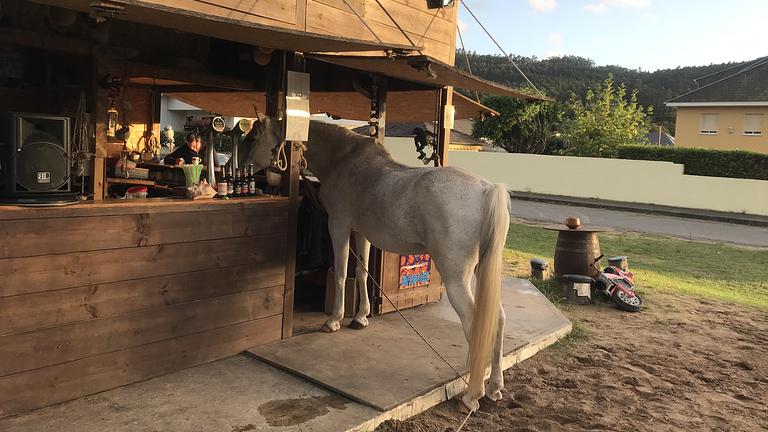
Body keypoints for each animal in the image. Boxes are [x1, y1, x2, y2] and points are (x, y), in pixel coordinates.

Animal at [242, 119, 510, 412]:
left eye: (254, 137)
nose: (246, 168)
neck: (344, 159)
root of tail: (485, 189)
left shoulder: (339, 225)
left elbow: (341, 272)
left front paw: (334, 320)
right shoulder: (362, 232)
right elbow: (361, 272)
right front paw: (360, 317)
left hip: (456, 279)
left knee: (476, 323)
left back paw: (472, 394)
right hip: (481, 273)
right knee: (497, 319)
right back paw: (494, 387)